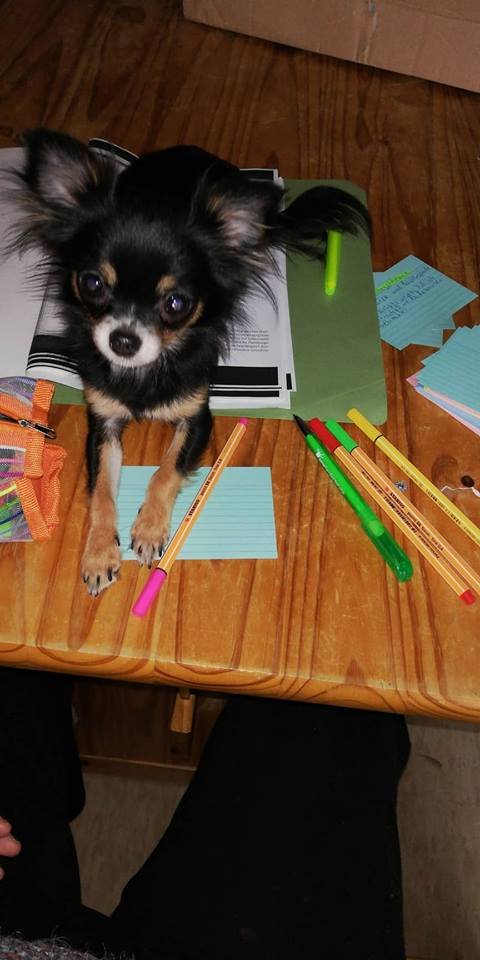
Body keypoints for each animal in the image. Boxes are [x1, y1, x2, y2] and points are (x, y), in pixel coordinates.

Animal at [10, 127, 372, 592]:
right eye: (92, 284)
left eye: (176, 303)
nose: (123, 340)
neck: (145, 373)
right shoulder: (103, 424)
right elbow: (102, 492)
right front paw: (99, 553)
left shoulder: (197, 420)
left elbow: (165, 470)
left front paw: (149, 530)